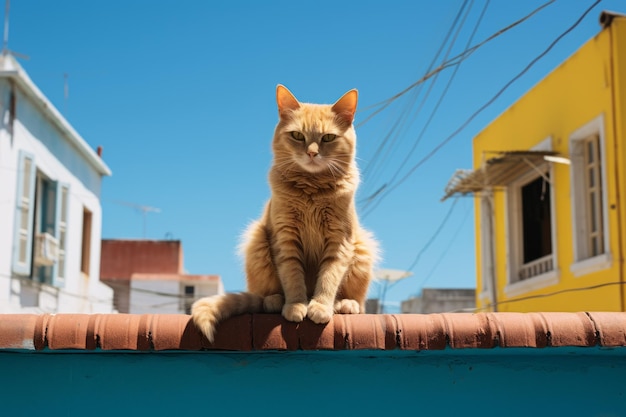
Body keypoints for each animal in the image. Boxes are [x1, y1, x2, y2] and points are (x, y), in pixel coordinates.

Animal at [190, 84, 376, 342]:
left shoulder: (339, 242)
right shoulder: (285, 238)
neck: (311, 190)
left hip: (362, 248)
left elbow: (329, 277)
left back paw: (345, 304)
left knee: (357, 300)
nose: (312, 153)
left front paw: (320, 306)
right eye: (297, 135)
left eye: (328, 138)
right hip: (257, 242)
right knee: (264, 295)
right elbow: (292, 277)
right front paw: (297, 305)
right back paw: (275, 301)